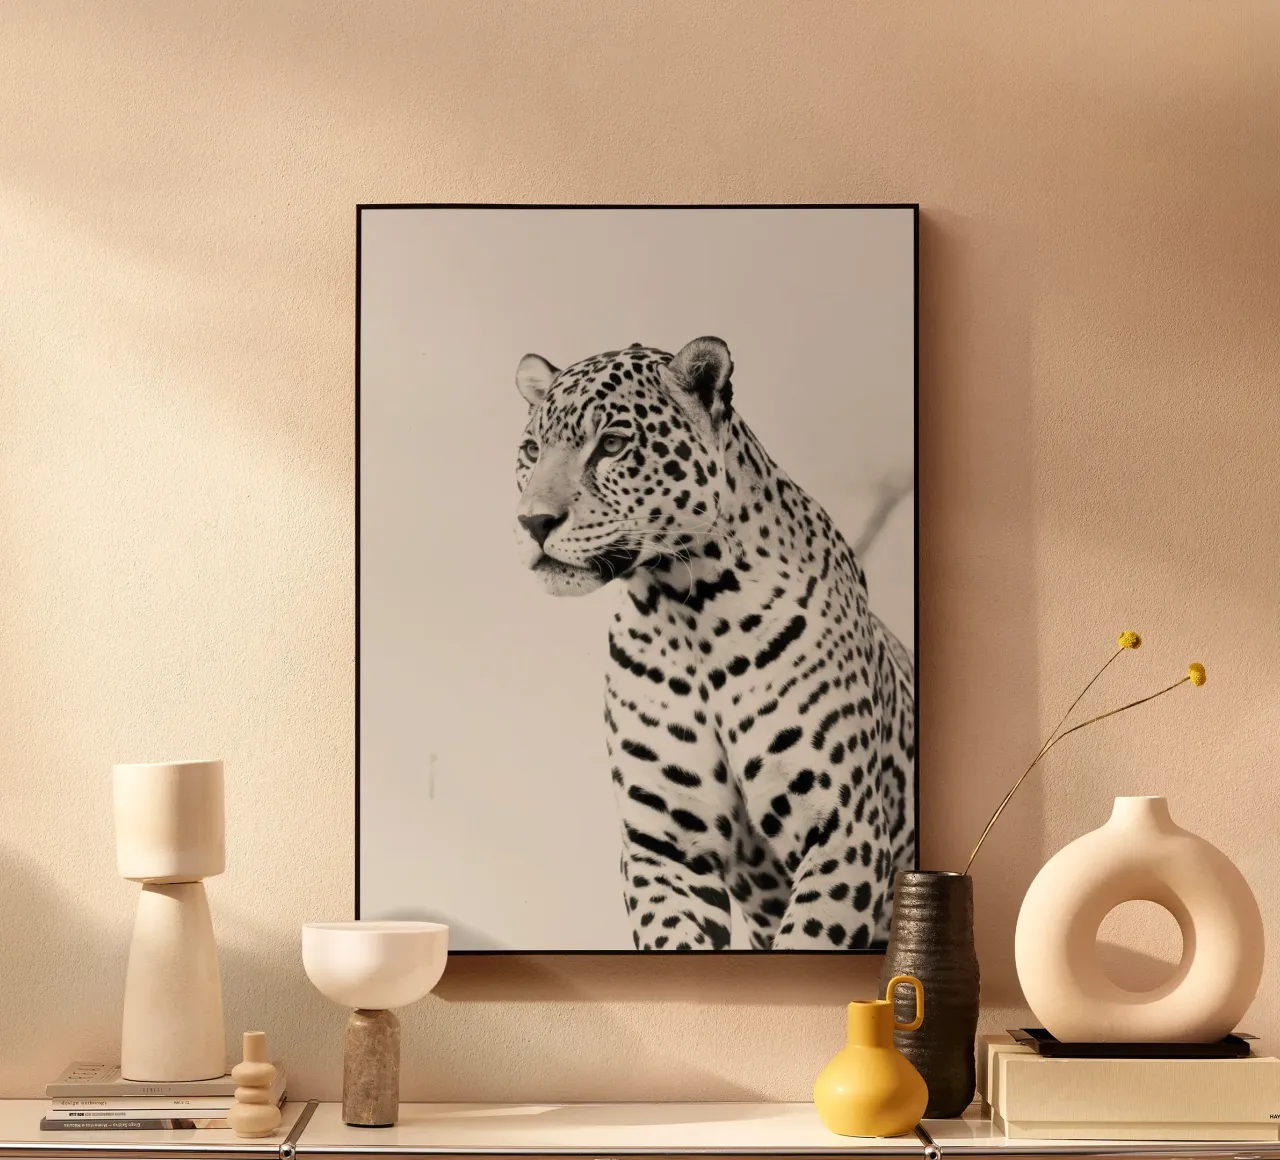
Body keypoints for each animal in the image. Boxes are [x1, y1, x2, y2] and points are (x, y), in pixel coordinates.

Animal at [513, 336, 915, 950]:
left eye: (611, 445)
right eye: (532, 450)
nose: (533, 522)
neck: (687, 610)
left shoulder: (844, 829)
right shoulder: (665, 846)